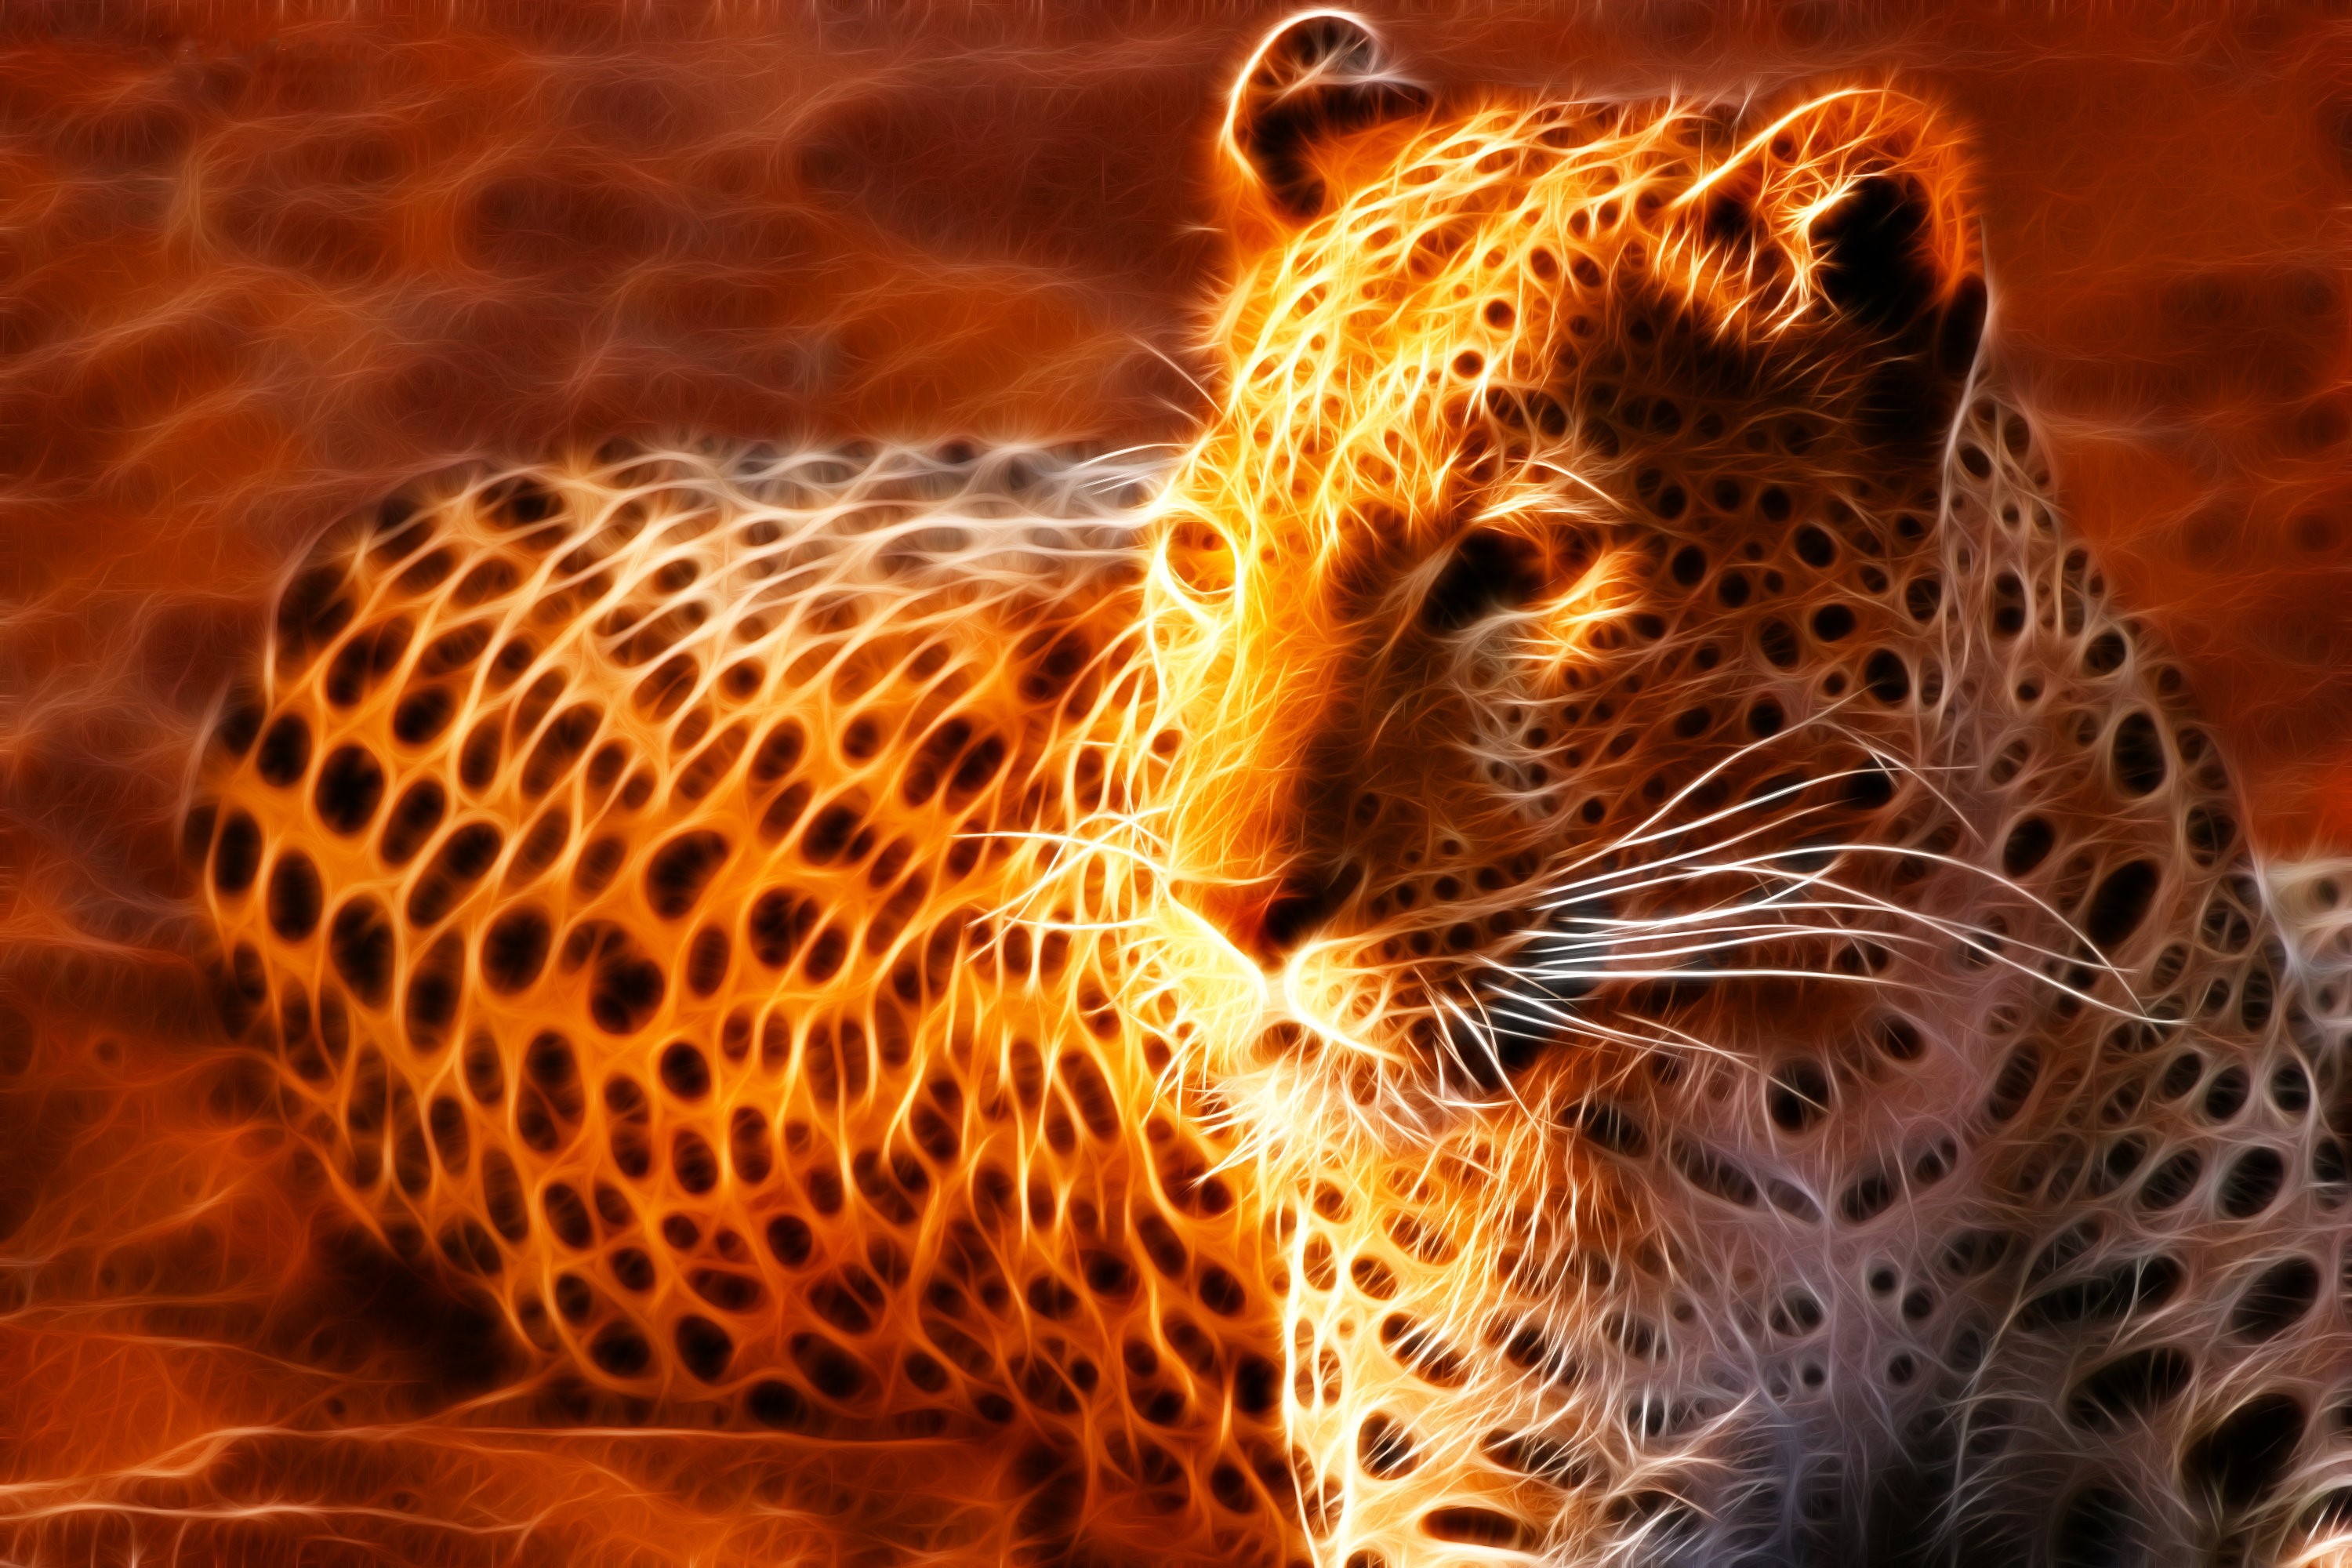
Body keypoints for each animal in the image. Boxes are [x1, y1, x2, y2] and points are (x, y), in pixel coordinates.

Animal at [188, 13, 2352, 1567]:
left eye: (1515, 569)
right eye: (1209, 554)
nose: (1228, 920)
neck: (1821, 1042)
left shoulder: (2268, 1399)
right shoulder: (1517, 1502)